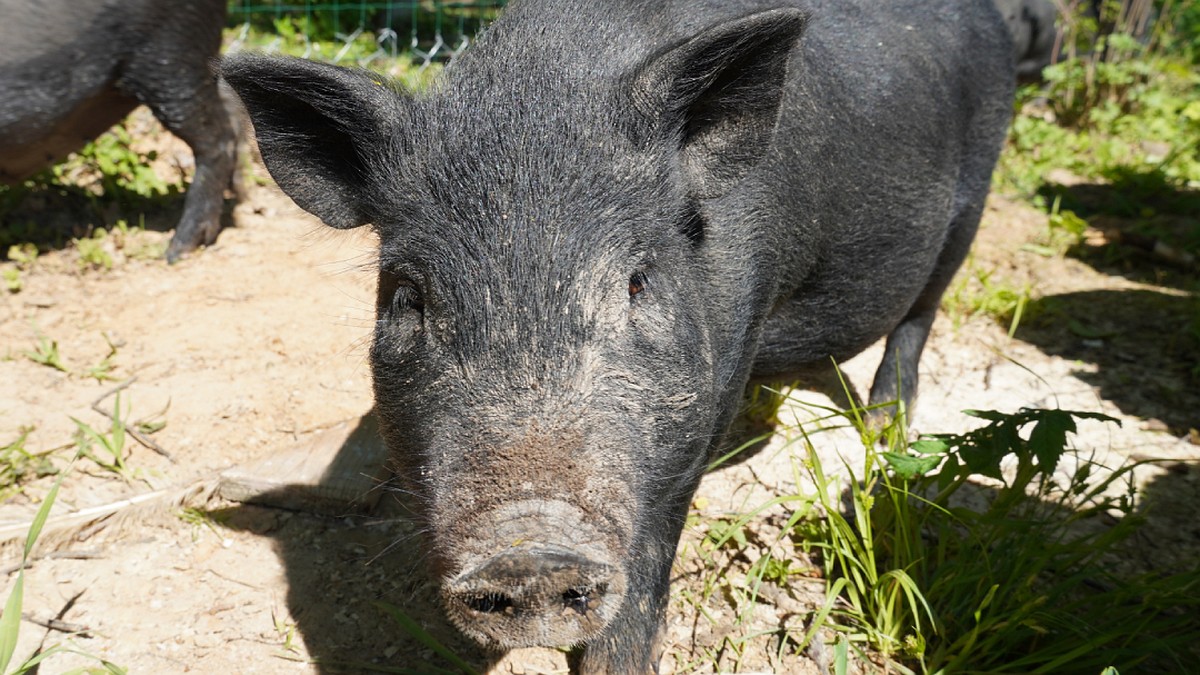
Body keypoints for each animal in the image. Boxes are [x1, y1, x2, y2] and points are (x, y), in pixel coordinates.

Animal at [223, 0, 1012, 667]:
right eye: (409, 297)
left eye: (637, 281)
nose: (529, 550)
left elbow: (649, 568)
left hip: (973, 199)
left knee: (920, 315)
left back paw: (885, 429)